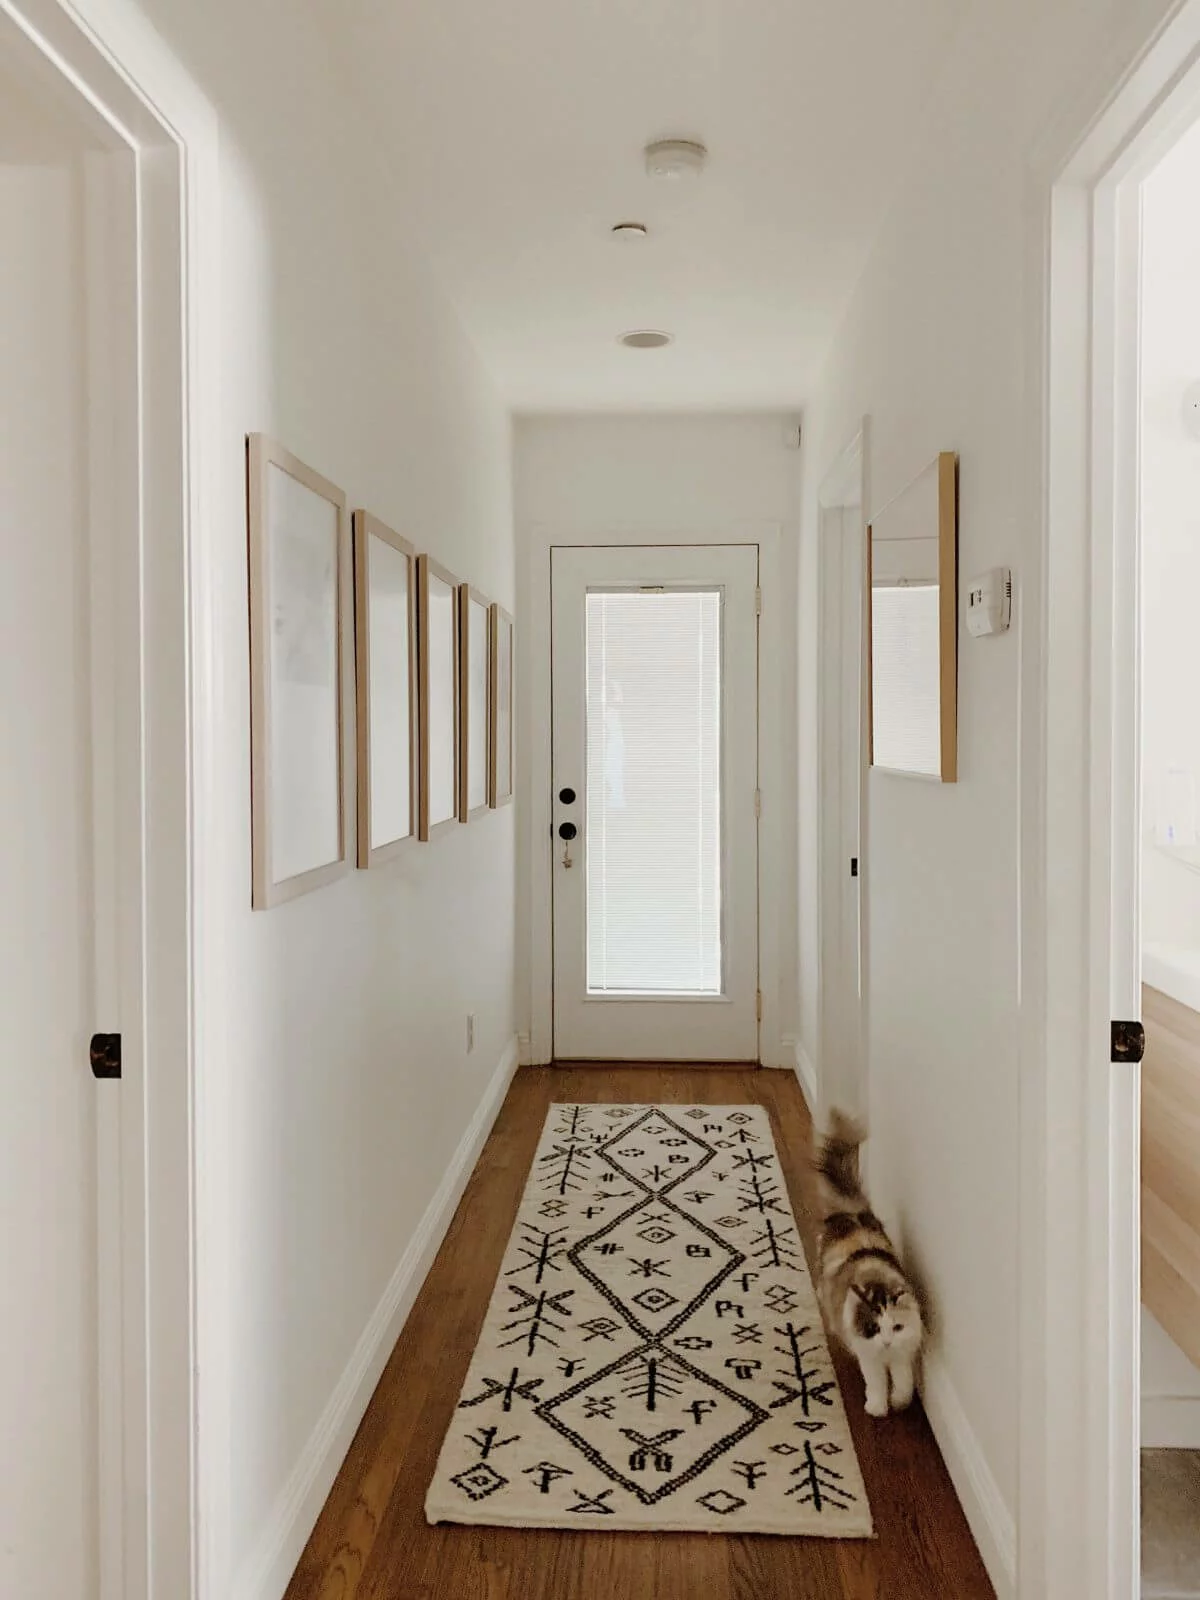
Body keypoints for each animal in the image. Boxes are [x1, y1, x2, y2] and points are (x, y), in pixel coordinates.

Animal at [812, 1113, 928, 1414]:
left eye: (896, 1328)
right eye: (874, 1329)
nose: (886, 1342)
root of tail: (853, 1213)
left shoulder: (902, 1355)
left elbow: (903, 1382)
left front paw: (899, 1402)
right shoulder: (870, 1359)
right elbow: (876, 1384)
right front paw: (877, 1408)